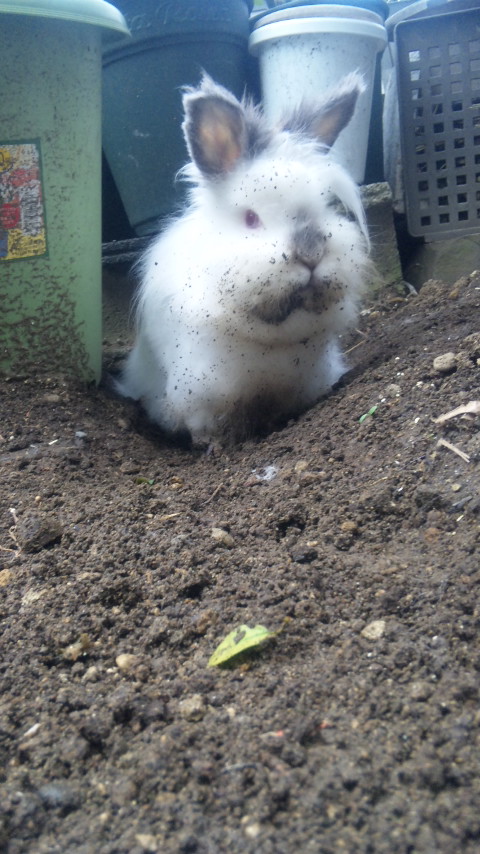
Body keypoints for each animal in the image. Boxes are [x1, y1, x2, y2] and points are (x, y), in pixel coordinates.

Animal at [118, 76, 374, 444]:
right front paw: (215, 445)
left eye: (325, 206)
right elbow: (208, 427)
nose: (311, 253)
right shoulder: (200, 396)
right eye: (251, 218)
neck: (270, 337)